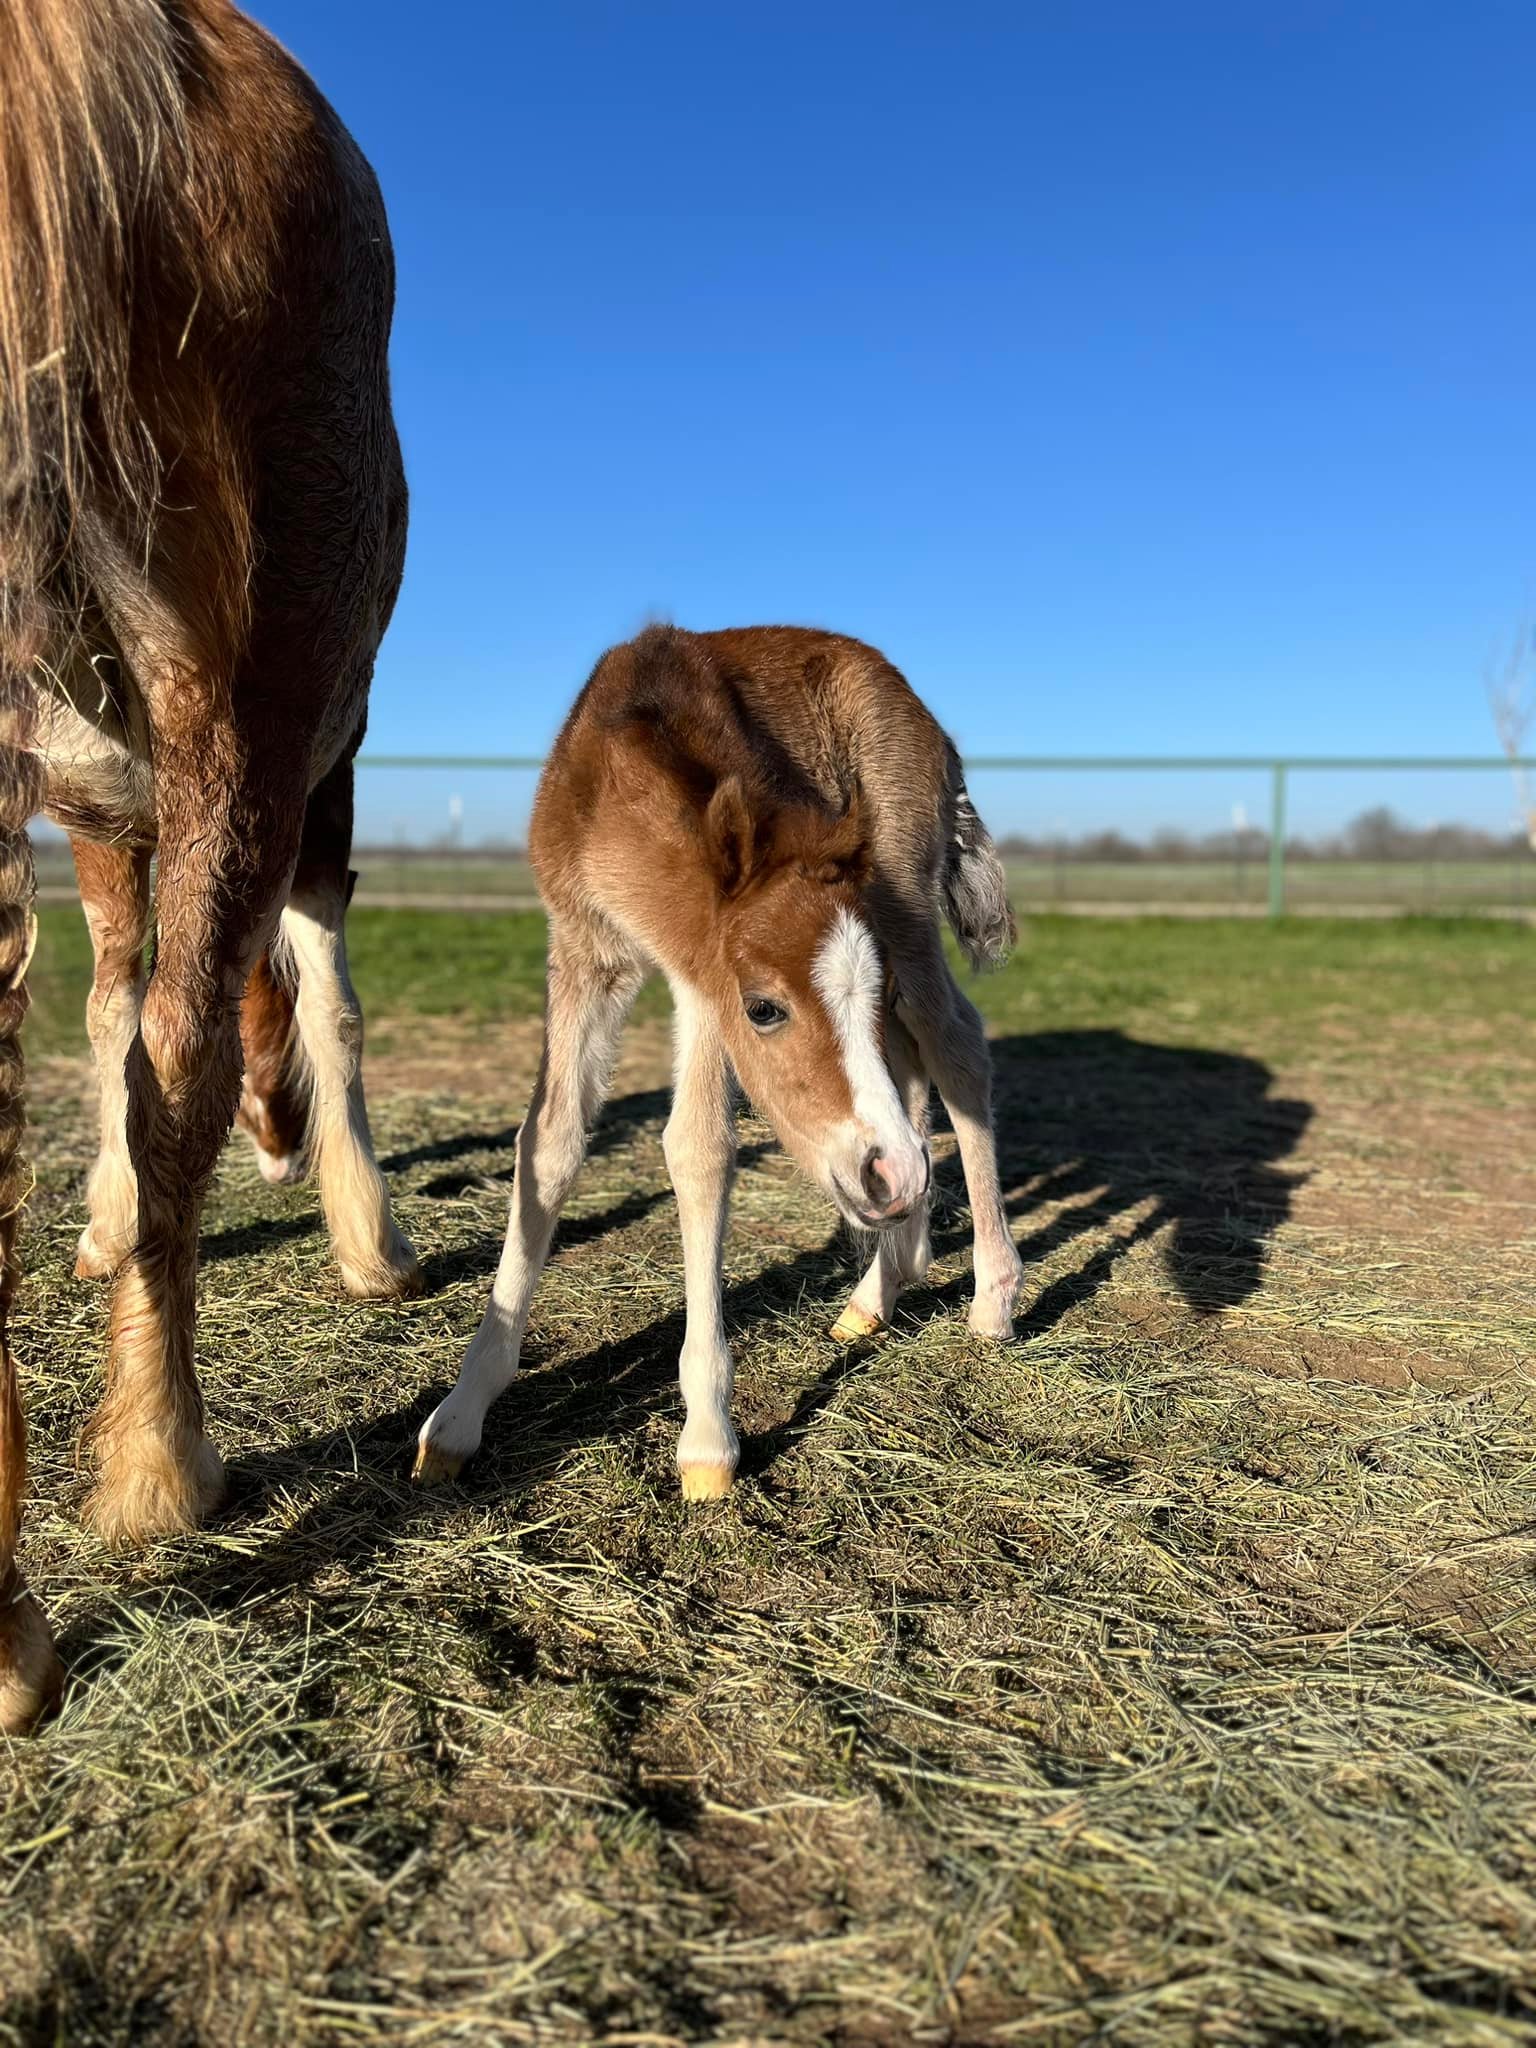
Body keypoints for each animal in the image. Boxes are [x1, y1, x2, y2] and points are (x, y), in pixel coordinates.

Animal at [414, 624, 1025, 1499]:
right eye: (765, 1007)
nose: (893, 1174)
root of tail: (929, 723)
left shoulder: (701, 977)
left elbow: (699, 1151)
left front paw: (706, 1436)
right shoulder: (584, 953)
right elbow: (549, 1144)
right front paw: (462, 1413)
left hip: (905, 900)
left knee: (956, 1045)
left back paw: (991, 1299)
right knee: (911, 1063)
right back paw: (882, 1284)